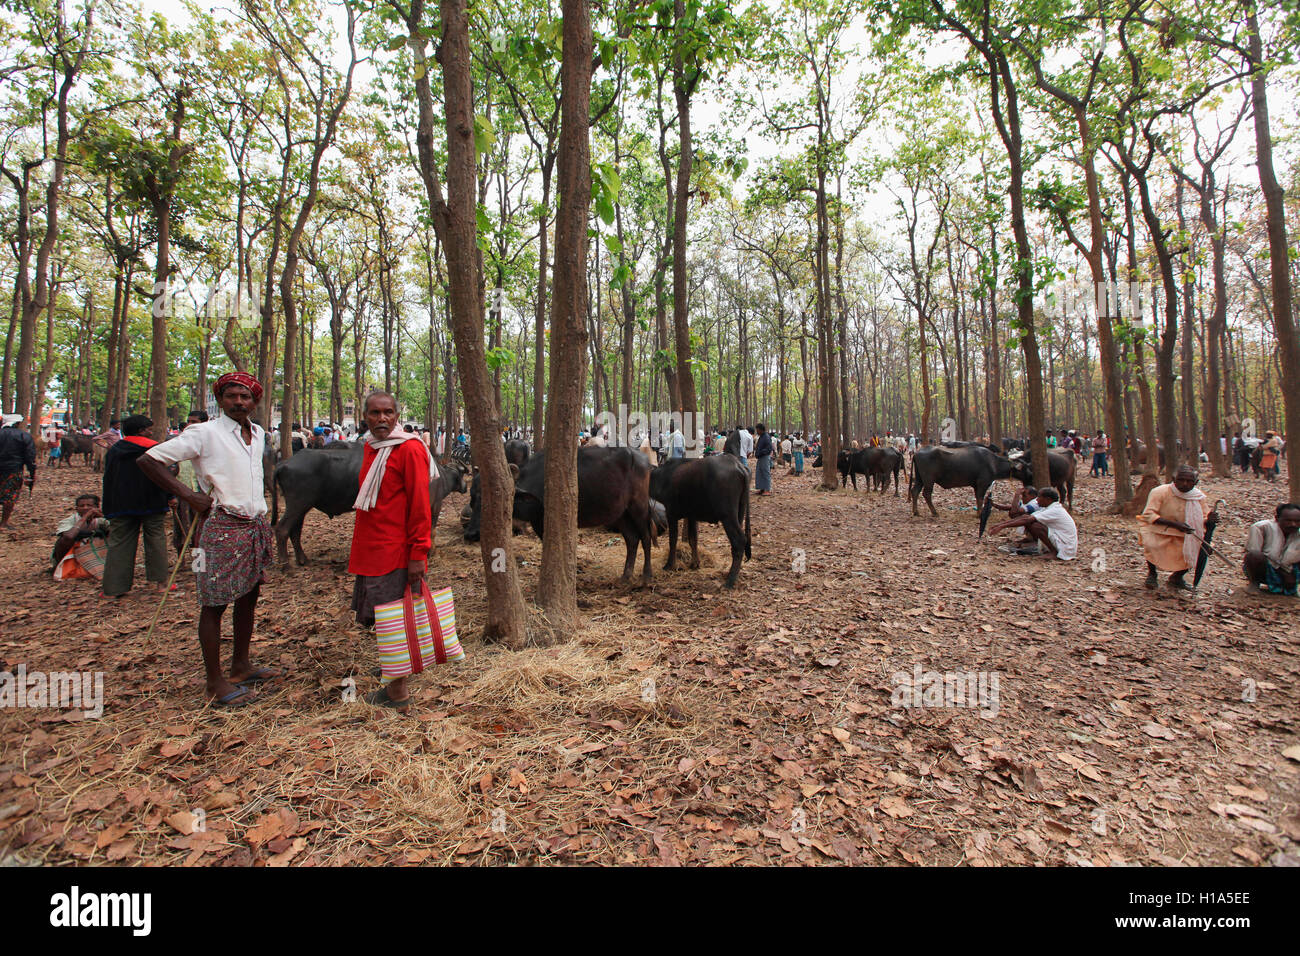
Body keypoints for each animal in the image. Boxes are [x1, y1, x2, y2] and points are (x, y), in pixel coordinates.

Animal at [462, 442, 655, 582]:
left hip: (639, 506)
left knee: (646, 536)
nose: (471, 534)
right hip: (621, 513)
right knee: (632, 539)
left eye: (496, 496)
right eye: (472, 497)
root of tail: (644, 460)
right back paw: (625, 576)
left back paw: (647, 575)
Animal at [650, 452, 754, 587]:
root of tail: (738, 465)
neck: (661, 477)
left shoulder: (671, 514)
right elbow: (693, 539)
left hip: (728, 516)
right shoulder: (691, 516)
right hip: (739, 513)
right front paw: (695, 563)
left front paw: (669, 565)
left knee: (739, 540)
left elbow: (672, 540)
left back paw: (730, 581)